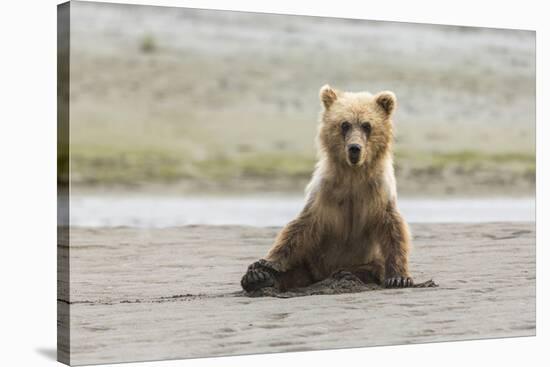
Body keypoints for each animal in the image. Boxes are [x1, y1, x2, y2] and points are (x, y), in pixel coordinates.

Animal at [242, 84, 414, 294]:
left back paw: (348, 275)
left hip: (366, 260)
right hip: (310, 262)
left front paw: (399, 278)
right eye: (344, 124)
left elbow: (393, 229)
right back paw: (257, 277)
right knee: (295, 270)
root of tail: (321, 276)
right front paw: (266, 263)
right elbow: (300, 228)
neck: (353, 174)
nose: (354, 148)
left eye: (367, 125)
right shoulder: (325, 191)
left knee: (370, 268)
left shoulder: (378, 192)